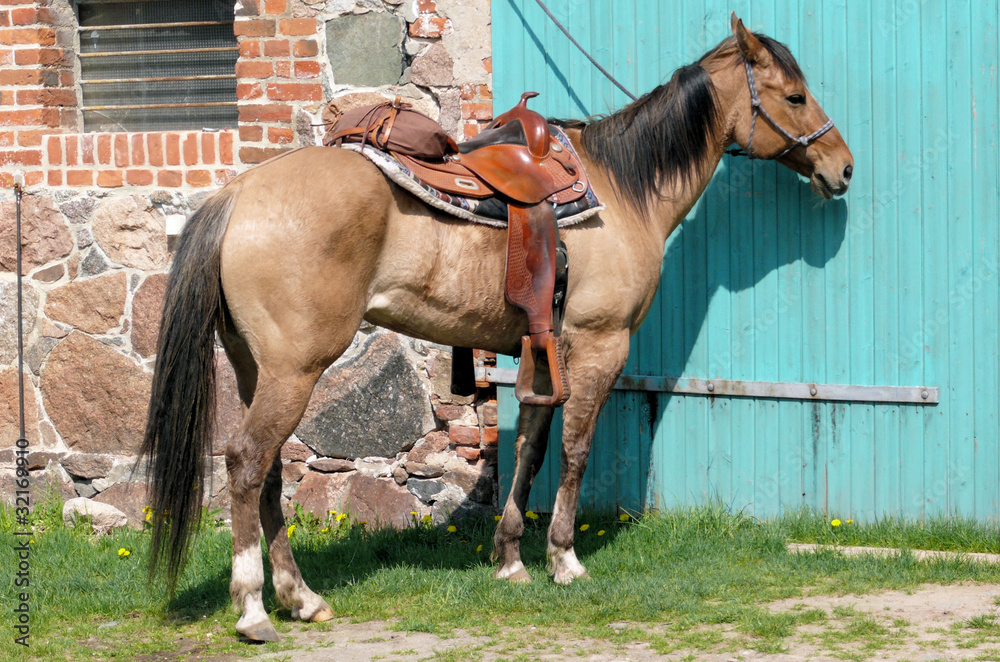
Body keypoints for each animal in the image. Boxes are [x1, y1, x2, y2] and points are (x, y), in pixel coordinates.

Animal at [140, 14, 853, 641]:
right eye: (794, 95)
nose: (842, 167)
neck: (622, 188)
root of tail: (237, 195)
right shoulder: (599, 346)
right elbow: (574, 451)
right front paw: (565, 560)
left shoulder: (543, 350)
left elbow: (532, 452)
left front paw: (510, 560)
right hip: (295, 369)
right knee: (246, 462)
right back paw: (255, 608)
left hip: (257, 369)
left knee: (267, 474)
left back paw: (302, 598)